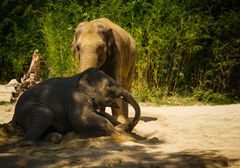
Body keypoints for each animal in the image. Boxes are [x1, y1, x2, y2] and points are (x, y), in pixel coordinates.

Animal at [11, 68, 141, 144]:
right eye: (109, 85)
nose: (129, 126)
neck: (82, 76)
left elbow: (102, 114)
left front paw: (120, 126)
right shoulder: (77, 98)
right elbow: (81, 119)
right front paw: (118, 132)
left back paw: (55, 137)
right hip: (29, 108)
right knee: (44, 116)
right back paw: (28, 143)